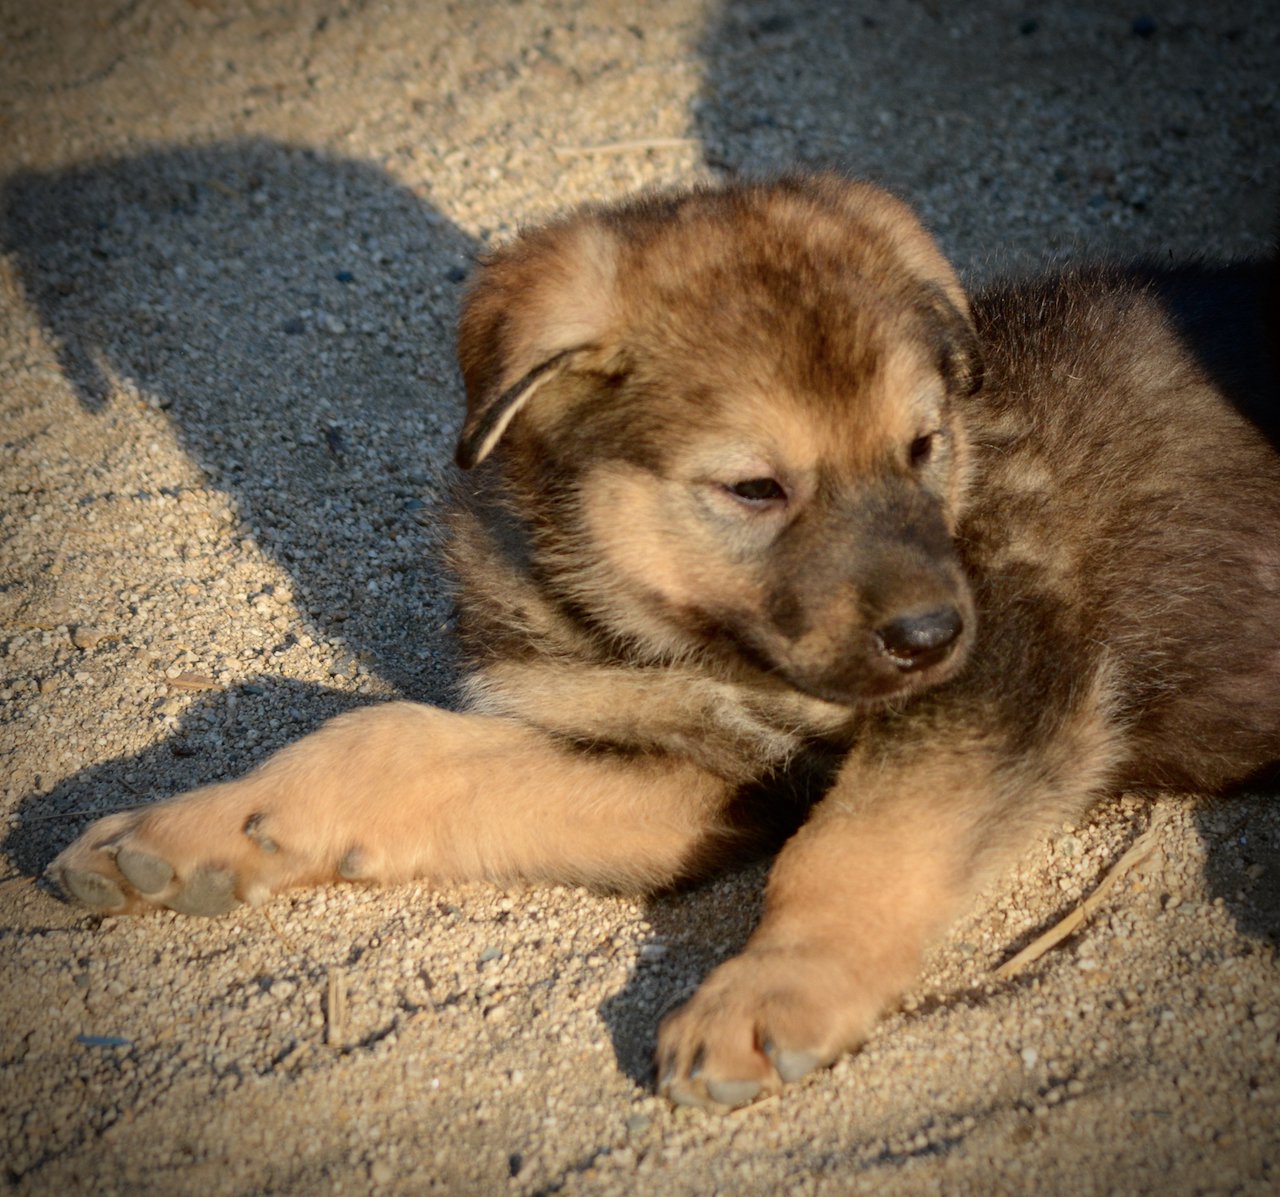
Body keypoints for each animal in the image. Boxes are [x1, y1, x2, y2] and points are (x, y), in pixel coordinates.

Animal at [49, 177, 1280, 1116]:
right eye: (753, 489)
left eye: (923, 446)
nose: (934, 635)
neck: (680, 635)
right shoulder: (692, 772)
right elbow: (388, 738)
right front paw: (203, 830)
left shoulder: (1003, 682)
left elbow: (855, 844)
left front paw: (769, 990)